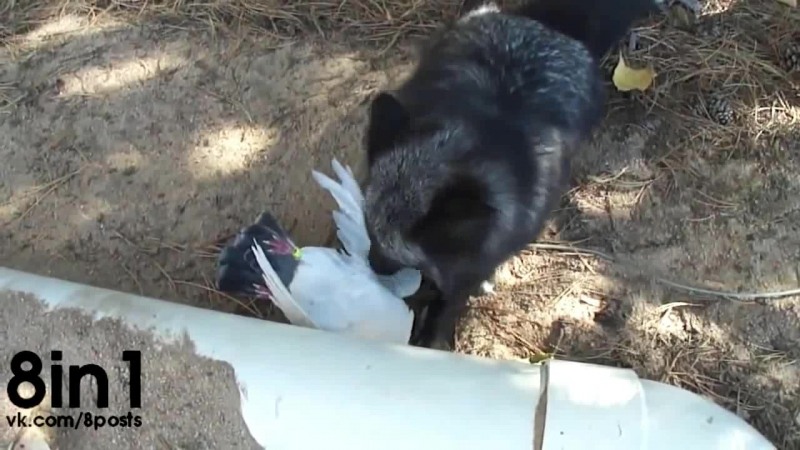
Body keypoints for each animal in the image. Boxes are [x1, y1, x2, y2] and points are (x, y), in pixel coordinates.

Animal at [362, 0, 670, 350]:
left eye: (394, 253)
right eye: (369, 230)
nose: (371, 264)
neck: (463, 144)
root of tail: (550, 27)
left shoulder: (483, 255)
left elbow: (450, 299)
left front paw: (431, 335)